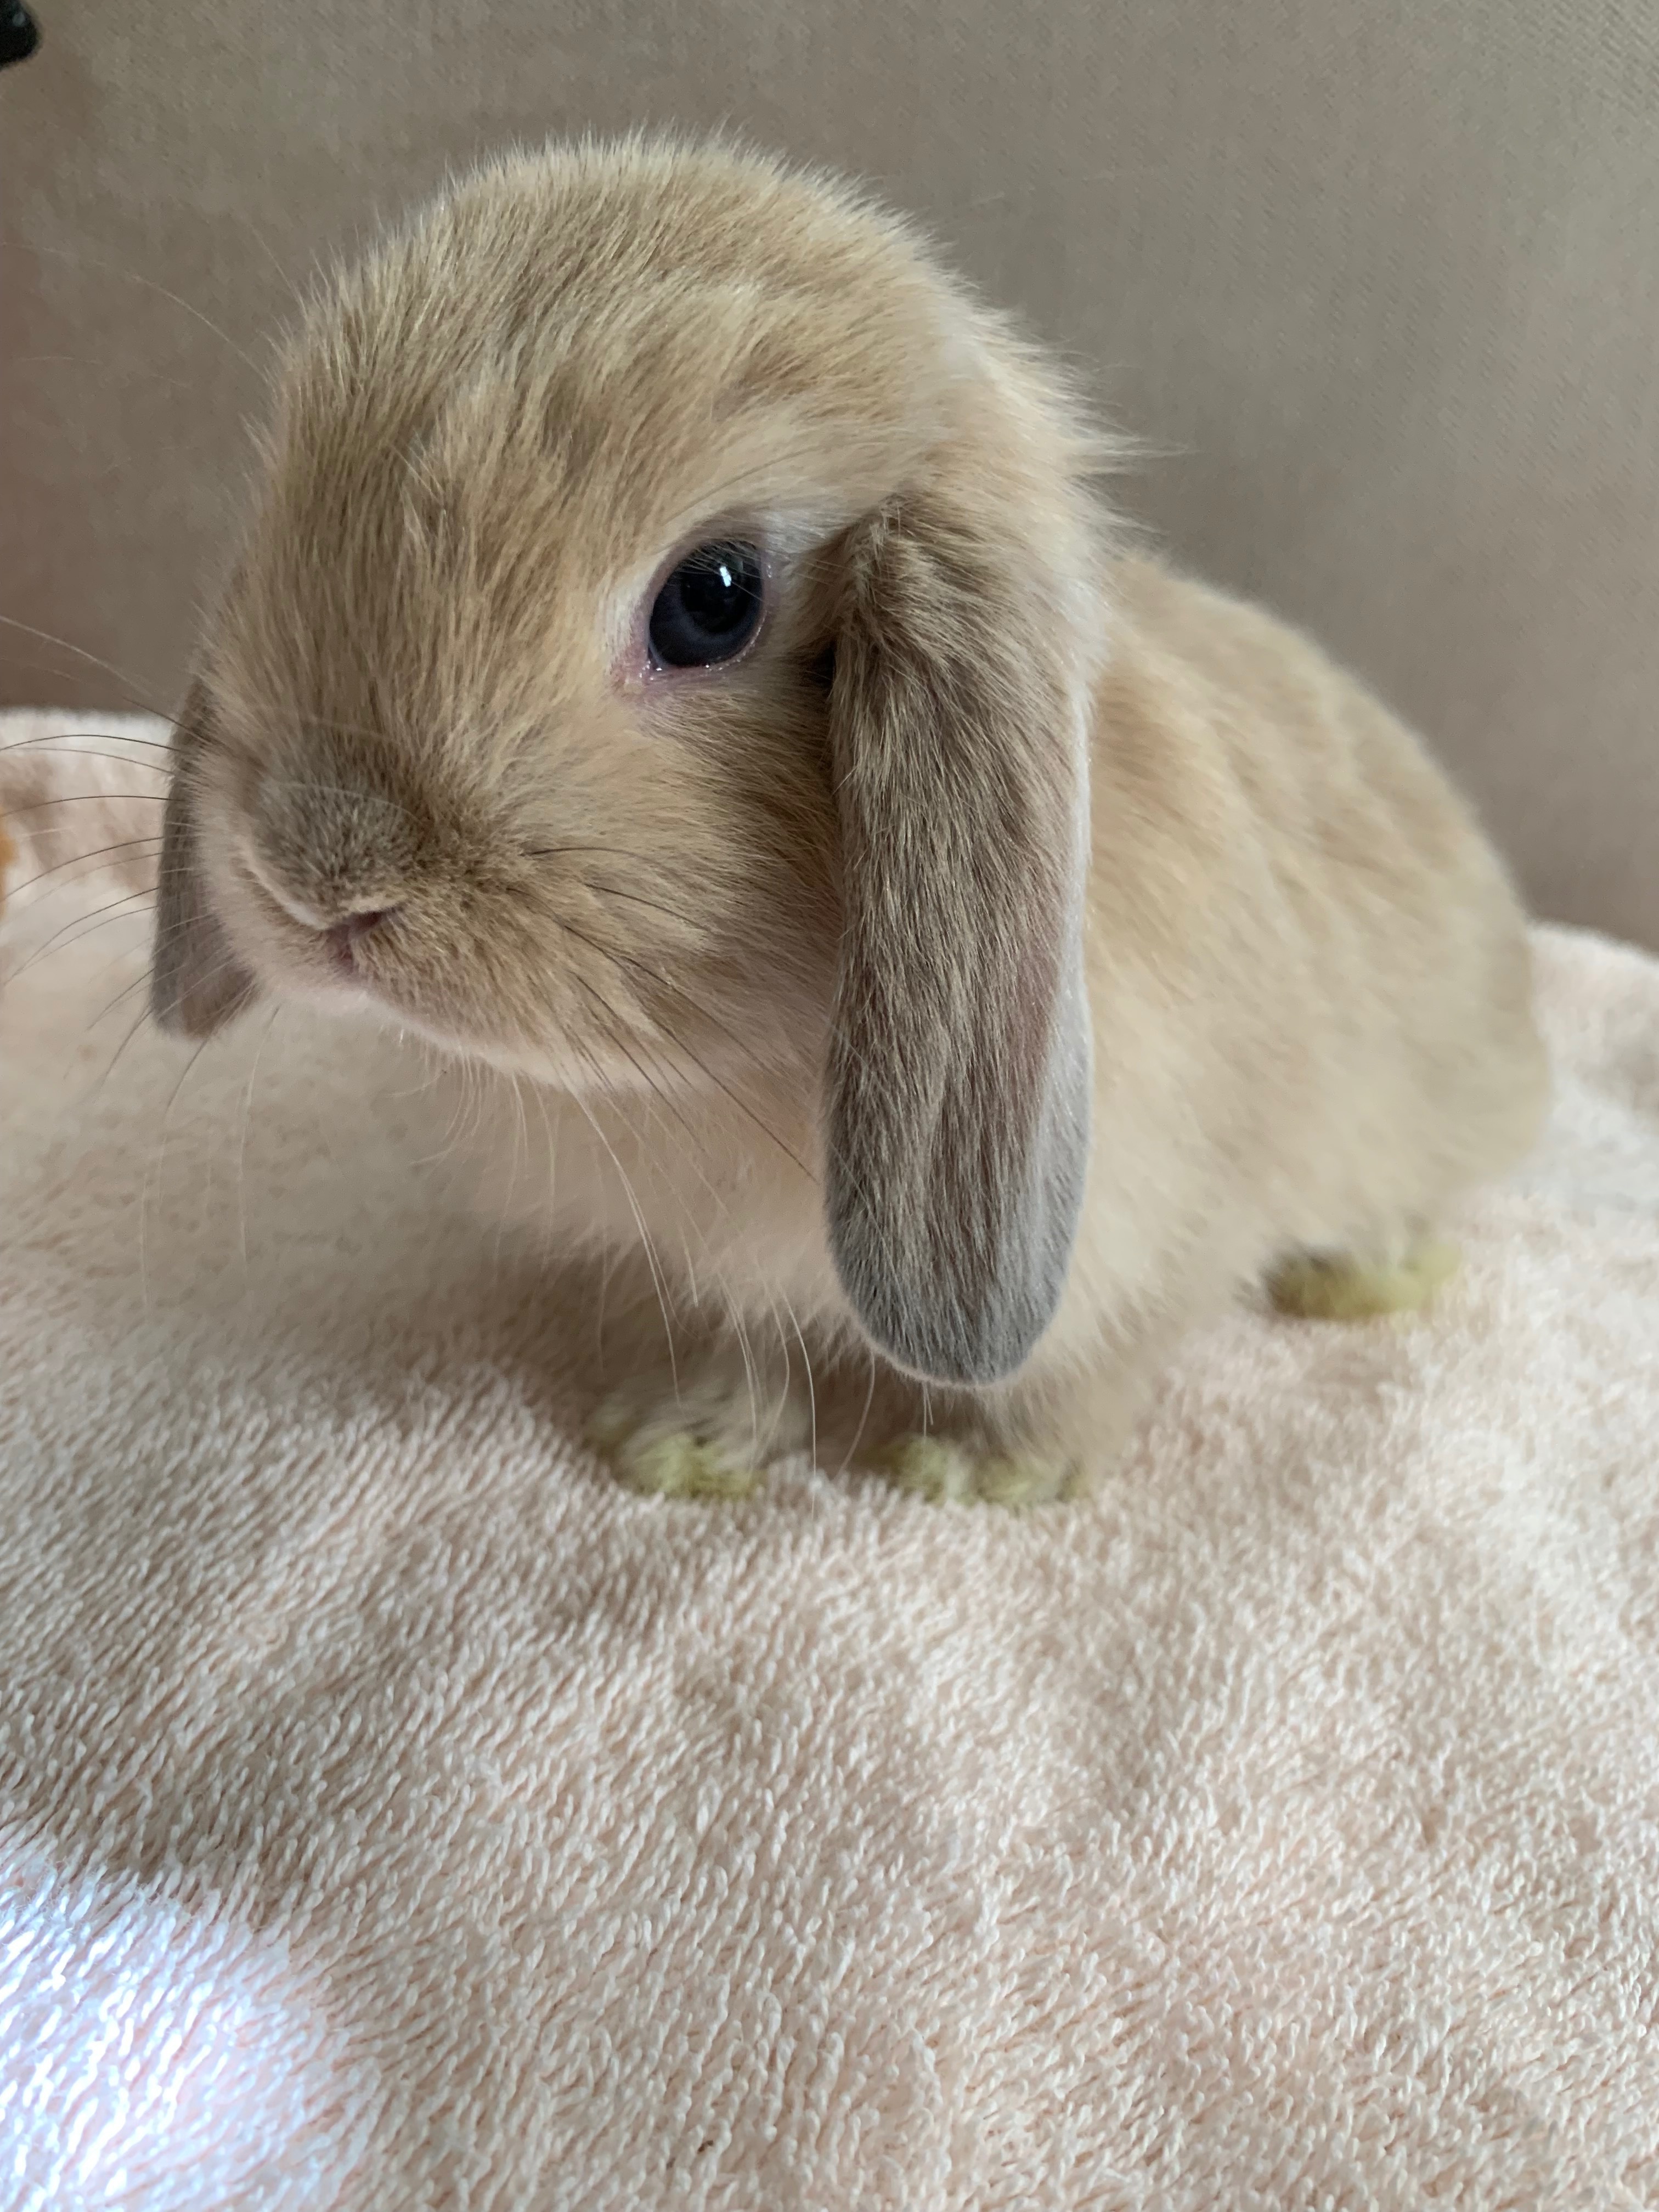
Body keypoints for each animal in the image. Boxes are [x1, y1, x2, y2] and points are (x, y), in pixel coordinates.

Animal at [149, 133, 1557, 1504]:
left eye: (710, 601)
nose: (319, 874)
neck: (736, 1067)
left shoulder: (1154, 1240)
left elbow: (1078, 1376)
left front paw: (975, 1476)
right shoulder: (694, 1273)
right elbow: (732, 1344)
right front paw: (673, 1449)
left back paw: (1358, 1279)